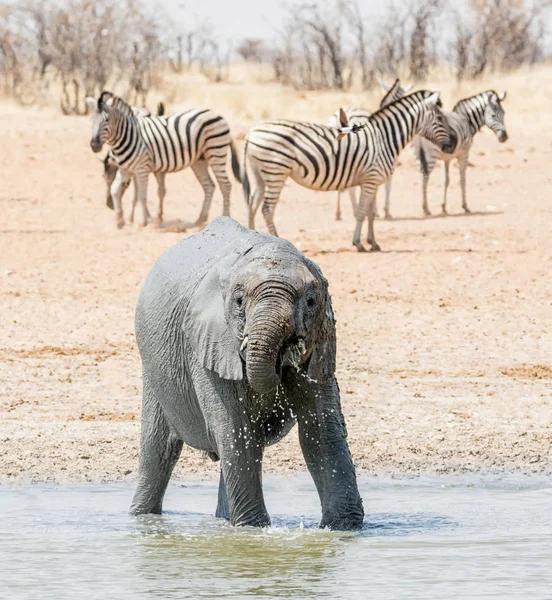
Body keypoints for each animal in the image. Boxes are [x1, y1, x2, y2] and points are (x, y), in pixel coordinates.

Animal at [85, 92, 240, 229]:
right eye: (92, 120)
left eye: (106, 121)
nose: (94, 145)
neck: (128, 135)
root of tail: (217, 114)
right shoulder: (125, 169)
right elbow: (115, 190)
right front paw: (120, 221)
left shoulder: (142, 169)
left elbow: (142, 195)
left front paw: (143, 222)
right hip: (199, 160)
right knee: (209, 186)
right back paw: (199, 220)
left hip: (216, 151)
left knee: (225, 185)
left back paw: (225, 217)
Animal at [132, 217, 364, 528]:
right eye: (239, 302)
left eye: (311, 302)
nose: (281, 363)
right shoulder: (208, 342)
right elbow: (236, 431)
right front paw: (255, 529)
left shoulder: (322, 341)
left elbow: (321, 430)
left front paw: (344, 527)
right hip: (152, 365)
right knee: (159, 449)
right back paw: (143, 518)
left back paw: (224, 521)